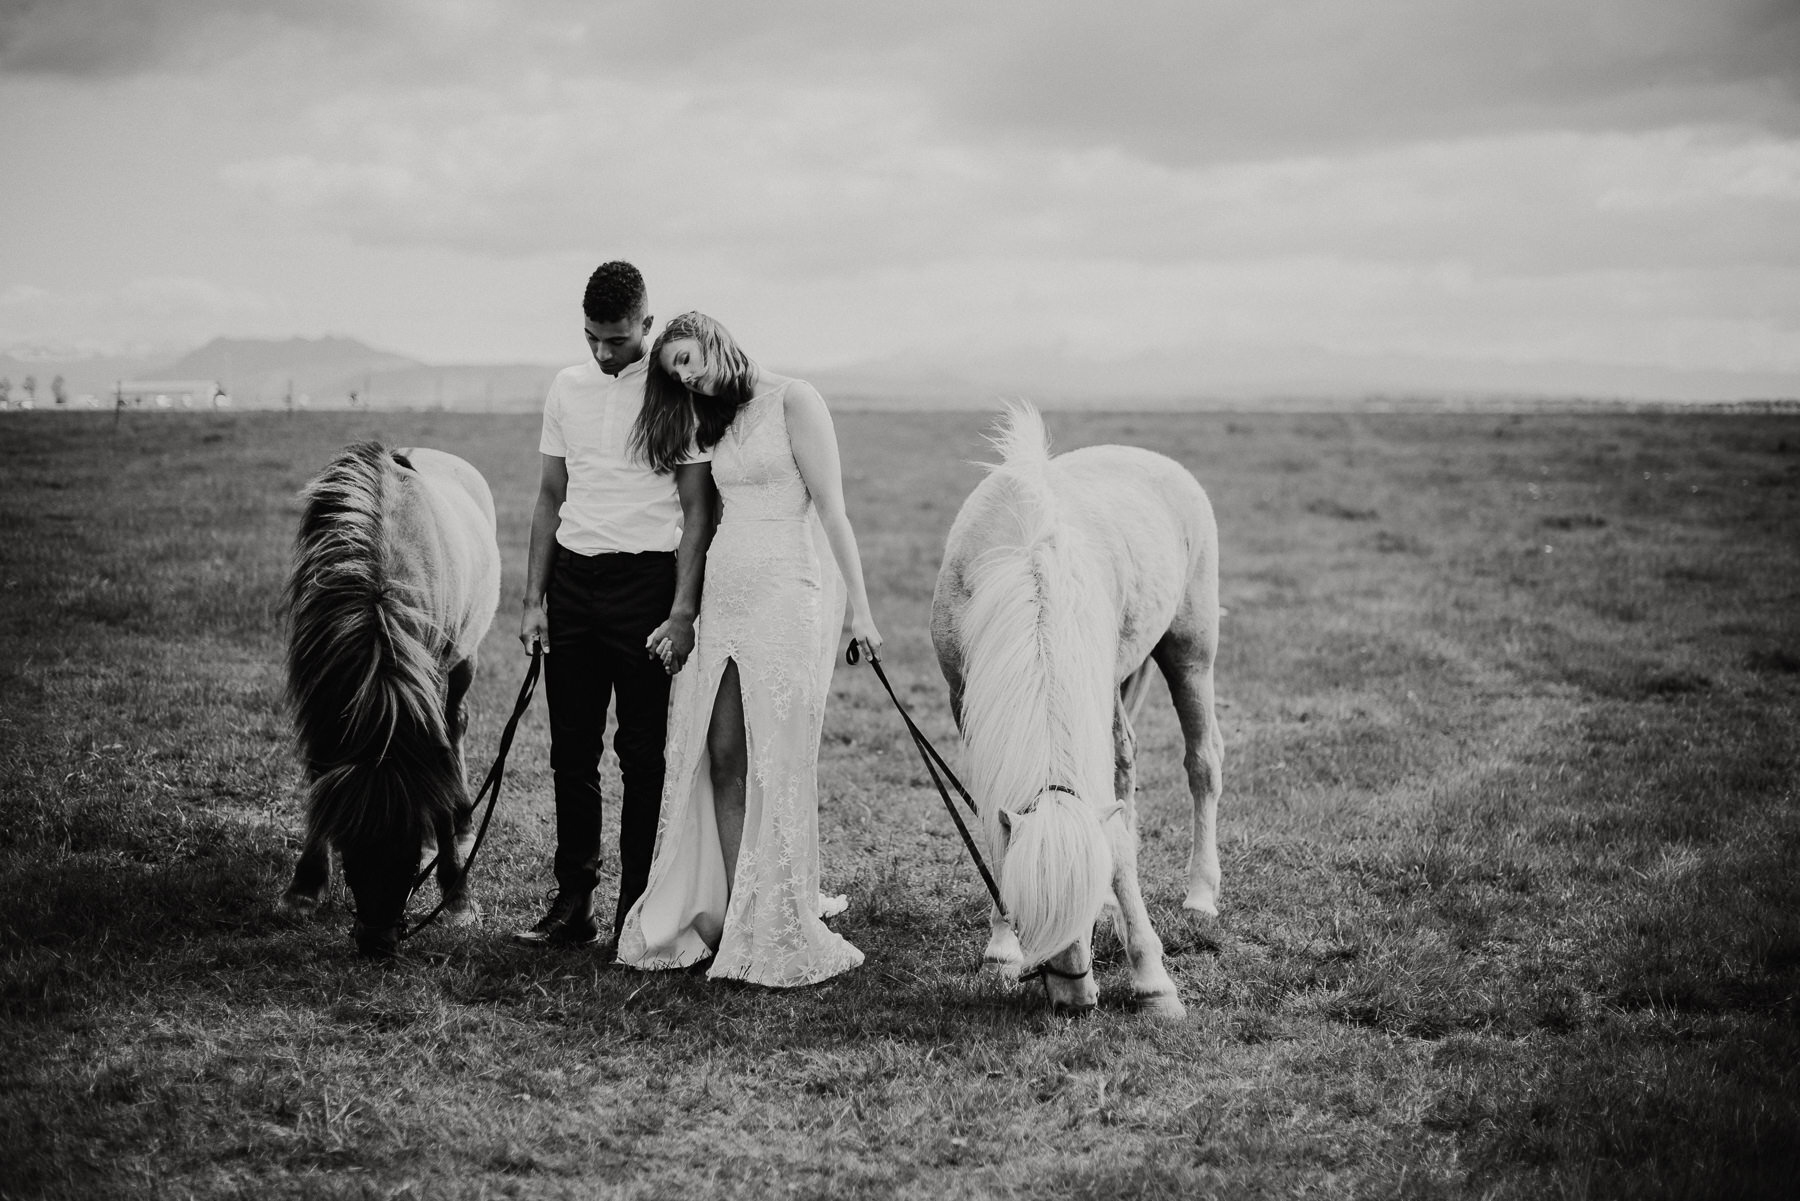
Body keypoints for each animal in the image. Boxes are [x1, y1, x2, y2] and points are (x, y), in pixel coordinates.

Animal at [928, 408, 1224, 1022]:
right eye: (1024, 912)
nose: (1076, 1000)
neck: (1027, 567)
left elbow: (1118, 848)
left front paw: (1155, 983)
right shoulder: (966, 705)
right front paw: (1001, 947)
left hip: (1191, 649)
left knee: (1202, 762)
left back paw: (1202, 893)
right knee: (1127, 767)